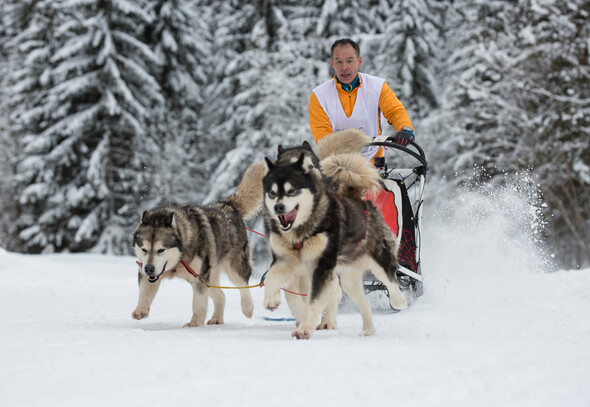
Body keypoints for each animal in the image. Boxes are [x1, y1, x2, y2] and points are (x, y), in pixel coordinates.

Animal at [134, 161, 266, 326]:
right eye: (144, 249)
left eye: (161, 250)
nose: (149, 269)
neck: (179, 259)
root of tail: (228, 207)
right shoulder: (149, 274)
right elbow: (145, 292)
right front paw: (141, 309)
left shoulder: (199, 278)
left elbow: (198, 304)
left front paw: (194, 324)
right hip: (211, 275)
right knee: (221, 295)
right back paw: (216, 318)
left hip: (233, 268)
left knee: (243, 286)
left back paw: (247, 307)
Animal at [262, 129, 408, 340]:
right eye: (273, 193)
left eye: (311, 166)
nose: (279, 207)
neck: (301, 230)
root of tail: (357, 199)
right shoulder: (286, 261)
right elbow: (277, 281)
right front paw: (273, 300)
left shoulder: (320, 268)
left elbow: (314, 301)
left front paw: (305, 327)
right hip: (347, 279)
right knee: (362, 300)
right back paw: (367, 329)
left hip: (378, 260)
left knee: (391, 281)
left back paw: (398, 302)